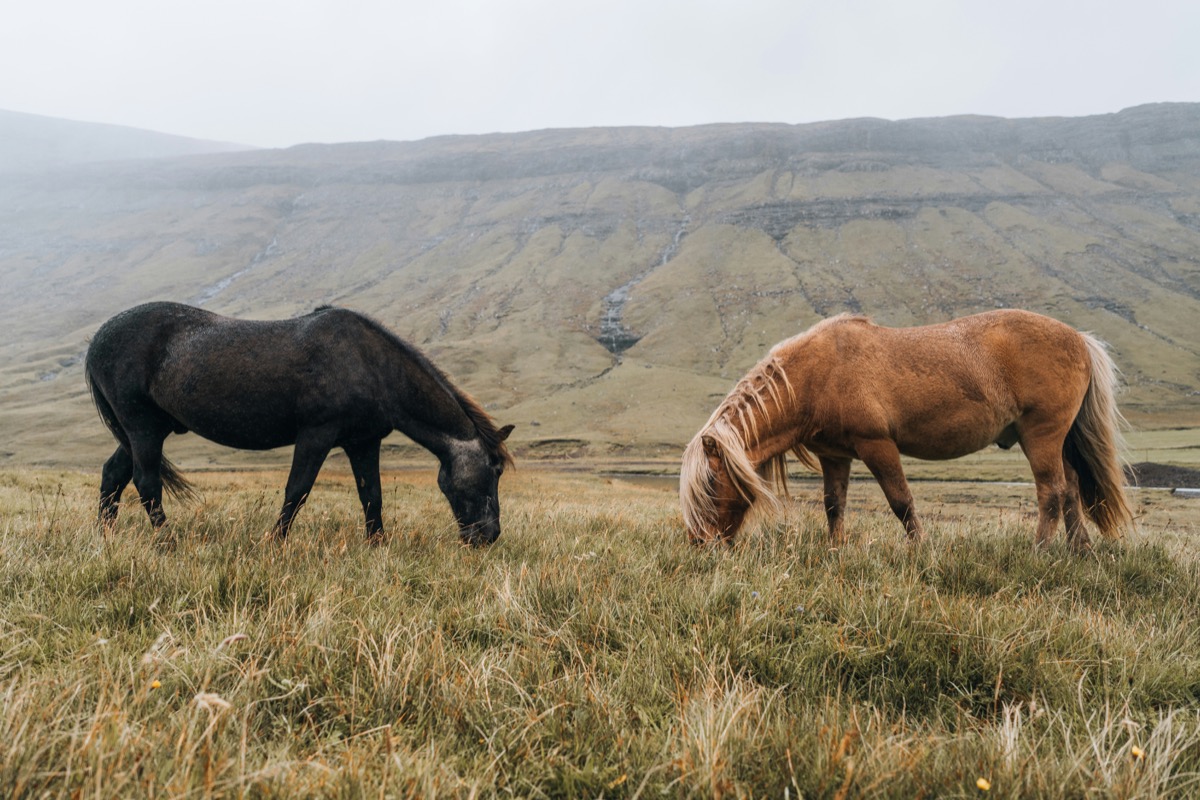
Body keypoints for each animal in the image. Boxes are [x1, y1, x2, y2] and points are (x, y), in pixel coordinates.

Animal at [85, 302, 514, 546]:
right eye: (493, 471)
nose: (489, 537)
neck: (371, 366)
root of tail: (97, 339)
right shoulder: (316, 434)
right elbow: (298, 491)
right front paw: (275, 543)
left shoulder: (363, 442)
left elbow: (371, 495)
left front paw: (377, 546)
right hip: (141, 427)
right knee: (146, 483)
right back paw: (166, 542)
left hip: (144, 431)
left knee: (113, 475)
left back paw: (106, 537)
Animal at [680, 310, 1132, 552]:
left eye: (710, 484)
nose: (701, 544)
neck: (816, 375)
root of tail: (1080, 339)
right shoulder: (835, 455)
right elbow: (834, 505)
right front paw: (835, 549)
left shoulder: (877, 445)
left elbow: (901, 503)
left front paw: (919, 551)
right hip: (1057, 442)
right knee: (1071, 489)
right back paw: (1080, 552)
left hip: (1040, 436)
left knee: (1052, 493)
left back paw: (1037, 551)